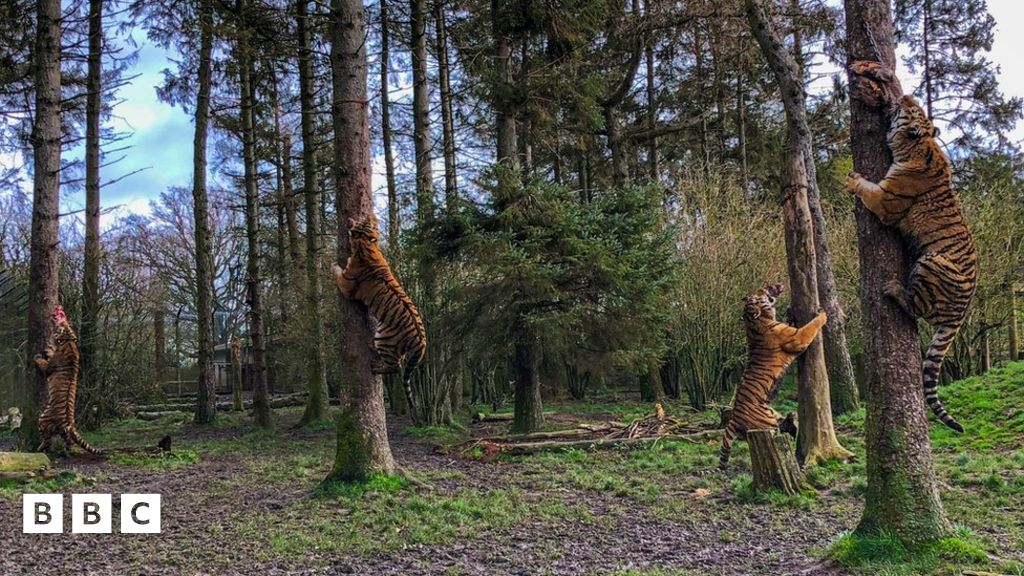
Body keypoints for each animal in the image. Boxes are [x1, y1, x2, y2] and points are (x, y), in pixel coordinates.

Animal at [34, 305, 102, 455]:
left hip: (43, 418)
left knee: (47, 439)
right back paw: (66, 451)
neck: (69, 339)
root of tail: (70, 424)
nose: (61, 319)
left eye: (61, 320)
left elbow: (44, 361)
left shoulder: (49, 367)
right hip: (64, 431)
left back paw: (40, 448)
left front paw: (41, 353)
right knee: (68, 440)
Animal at [332, 214, 427, 411]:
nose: (372, 215)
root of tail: (421, 341)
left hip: (384, 338)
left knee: (395, 366)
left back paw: (376, 368)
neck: (365, 244)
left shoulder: (347, 285)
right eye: (370, 222)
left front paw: (332, 264)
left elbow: (338, 273)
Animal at [719, 283, 825, 470]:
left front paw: (790, 312)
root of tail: (732, 420)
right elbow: (812, 325)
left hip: (772, 414)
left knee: (785, 424)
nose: (763, 288)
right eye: (756, 297)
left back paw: (793, 422)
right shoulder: (798, 338)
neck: (755, 321)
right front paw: (822, 313)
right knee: (779, 433)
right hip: (768, 424)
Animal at [845, 93, 977, 433]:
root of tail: (962, 313)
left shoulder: (885, 199)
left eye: (912, 109)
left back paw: (893, 288)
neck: (920, 145)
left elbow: (867, 188)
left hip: (932, 261)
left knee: (915, 307)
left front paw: (853, 178)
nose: (903, 95)